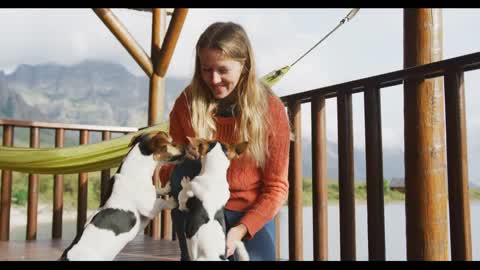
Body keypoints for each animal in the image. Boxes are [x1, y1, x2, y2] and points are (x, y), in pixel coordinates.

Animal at [59, 131, 186, 262]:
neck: (135, 171)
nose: (186, 146)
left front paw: (167, 187)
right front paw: (173, 201)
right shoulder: (149, 208)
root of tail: (65, 257)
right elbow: (161, 202)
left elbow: (156, 190)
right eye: (172, 143)